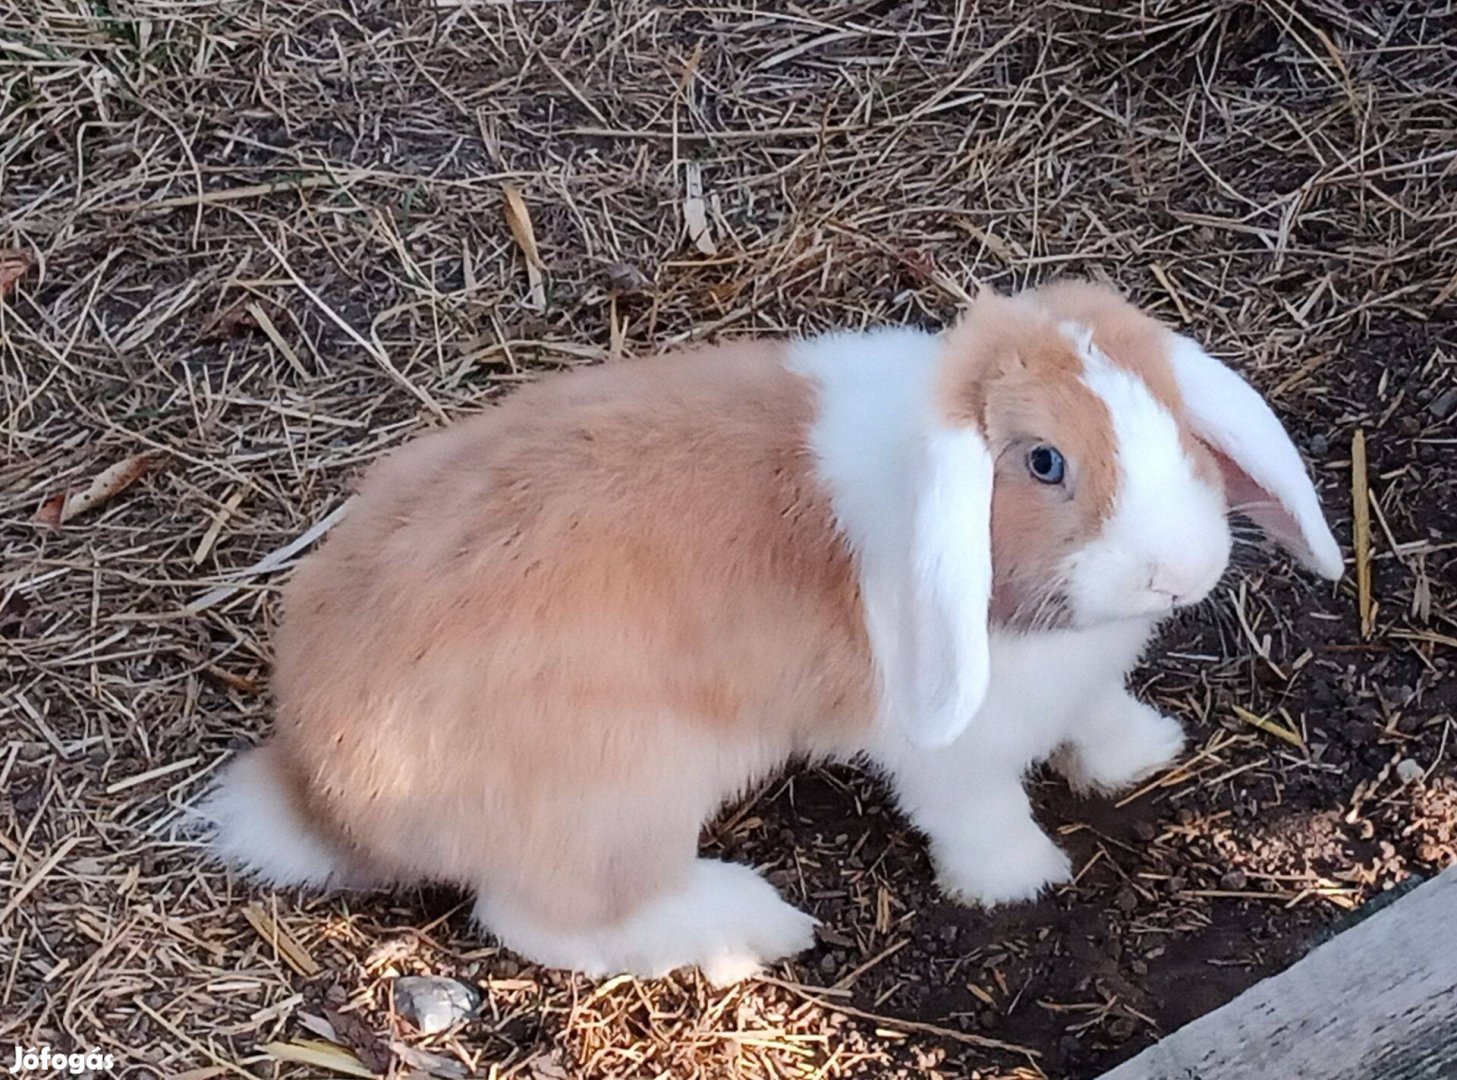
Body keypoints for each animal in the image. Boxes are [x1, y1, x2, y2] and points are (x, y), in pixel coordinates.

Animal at [199, 279, 1334, 985]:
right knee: (547, 920)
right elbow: (972, 811)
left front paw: (1141, 753)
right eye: (1043, 462)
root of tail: (325, 792)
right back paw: (749, 927)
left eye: (1178, 422)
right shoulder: (948, 749)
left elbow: (1097, 718)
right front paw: (1017, 882)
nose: (1176, 573)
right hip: (624, 797)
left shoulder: (1080, 684)